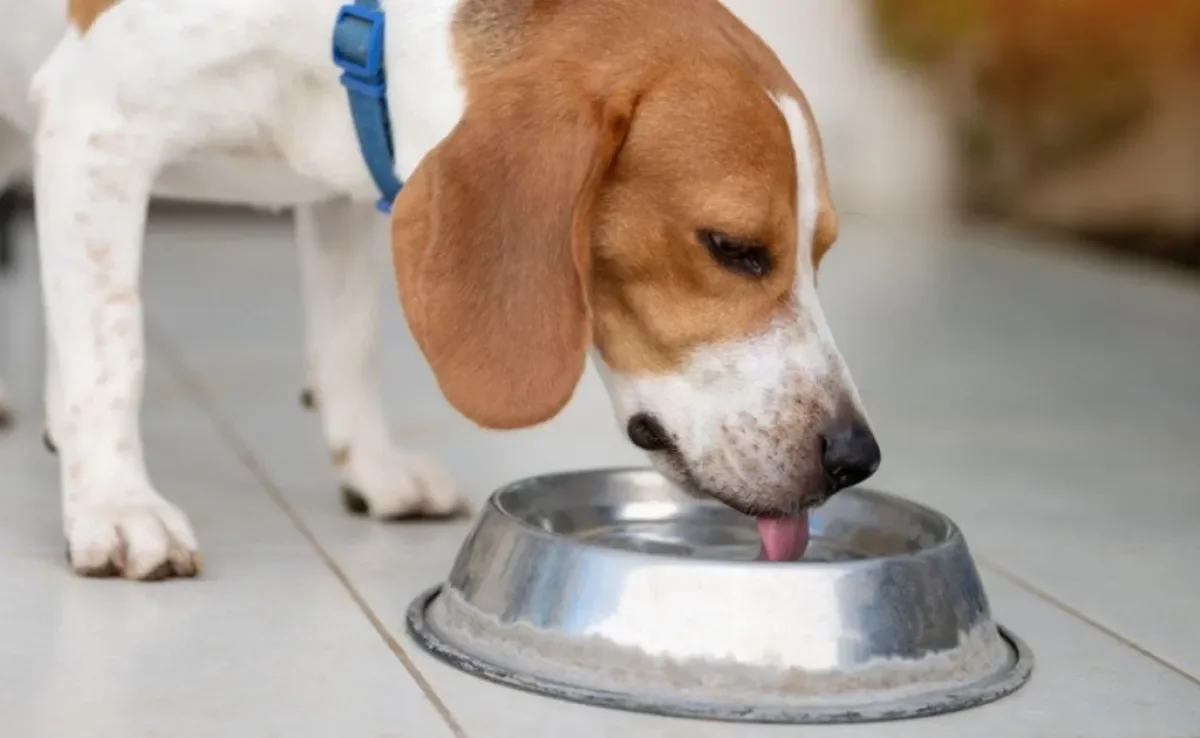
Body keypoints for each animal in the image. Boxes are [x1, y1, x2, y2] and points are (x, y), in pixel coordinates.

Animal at [0, 0, 883, 580]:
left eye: (822, 254)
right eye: (732, 248)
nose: (856, 458)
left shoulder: (340, 174)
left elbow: (347, 343)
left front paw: (372, 467)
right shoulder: (94, 127)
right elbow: (113, 351)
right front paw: (116, 503)